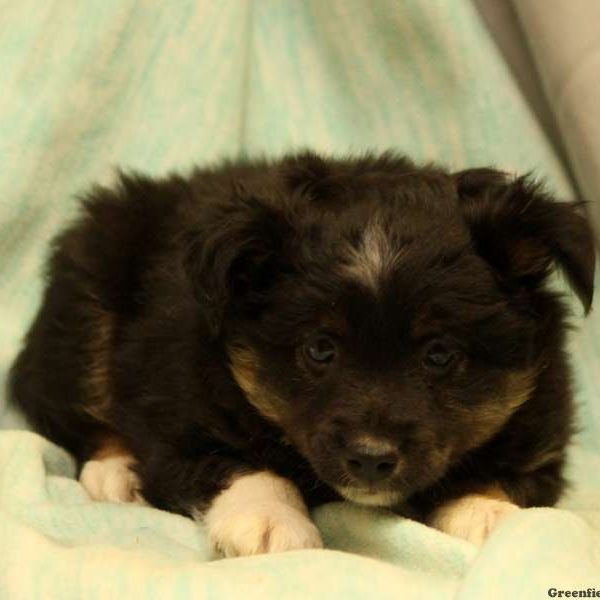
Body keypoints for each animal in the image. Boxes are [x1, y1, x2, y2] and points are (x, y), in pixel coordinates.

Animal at [9, 152, 596, 556]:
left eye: (439, 354)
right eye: (320, 348)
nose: (370, 457)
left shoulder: (542, 422)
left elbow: (505, 467)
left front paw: (488, 512)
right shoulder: (177, 414)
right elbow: (242, 465)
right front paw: (271, 525)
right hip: (85, 310)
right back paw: (116, 473)